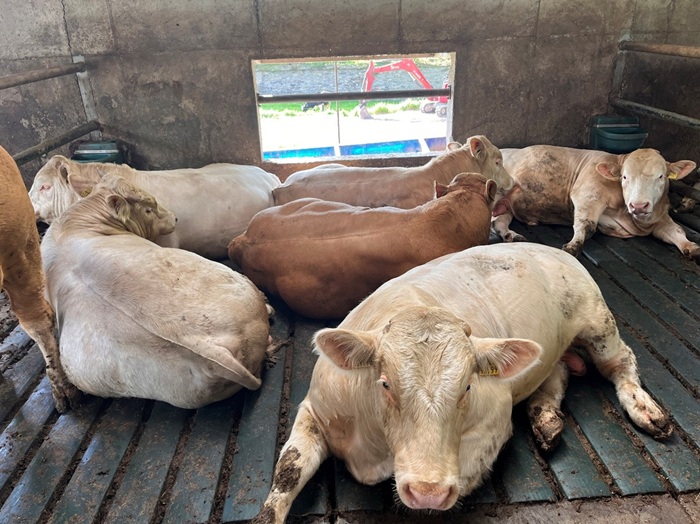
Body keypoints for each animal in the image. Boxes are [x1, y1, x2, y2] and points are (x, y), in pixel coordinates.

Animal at [252, 243, 671, 524]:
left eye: (467, 388)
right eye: (384, 384)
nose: (428, 491)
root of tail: (552, 249)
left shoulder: (492, 426)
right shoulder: (316, 407)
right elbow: (289, 467)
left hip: (598, 321)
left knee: (622, 361)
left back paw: (647, 410)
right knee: (556, 373)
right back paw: (546, 419)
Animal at [492, 146, 699, 261]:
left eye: (661, 176)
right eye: (624, 176)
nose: (639, 206)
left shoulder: (658, 216)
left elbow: (676, 230)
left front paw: (692, 247)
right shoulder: (588, 193)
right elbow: (587, 225)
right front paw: (573, 247)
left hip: (506, 205)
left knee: (499, 222)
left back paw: (512, 236)